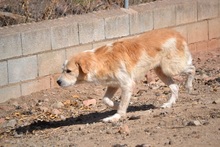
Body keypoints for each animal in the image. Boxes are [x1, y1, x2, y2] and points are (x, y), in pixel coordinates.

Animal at [57, 28, 196, 123]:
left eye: (68, 71)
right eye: (62, 70)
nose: (58, 82)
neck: (100, 61)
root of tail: (177, 33)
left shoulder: (127, 84)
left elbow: (121, 104)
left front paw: (116, 116)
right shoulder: (113, 85)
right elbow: (106, 99)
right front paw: (117, 105)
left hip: (171, 68)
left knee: (192, 69)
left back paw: (189, 86)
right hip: (161, 72)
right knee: (175, 87)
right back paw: (169, 104)